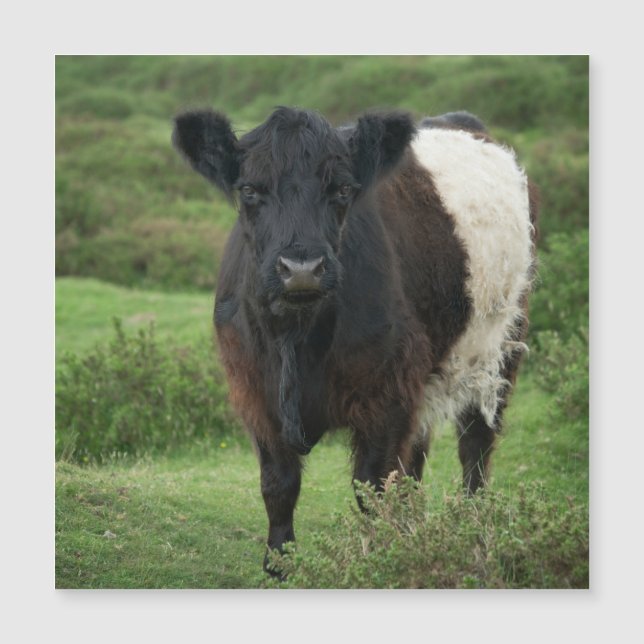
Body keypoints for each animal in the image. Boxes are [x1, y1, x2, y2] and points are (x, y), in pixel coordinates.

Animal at [172, 106, 537, 575]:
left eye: (343, 189)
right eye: (249, 190)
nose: (302, 269)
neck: (298, 336)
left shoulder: (388, 392)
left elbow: (374, 487)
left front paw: (382, 559)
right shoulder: (255, 391)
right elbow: (278, 484)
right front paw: (279, 565)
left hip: (500, 347)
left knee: (475, 444)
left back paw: (473, 531)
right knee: (417, 458)